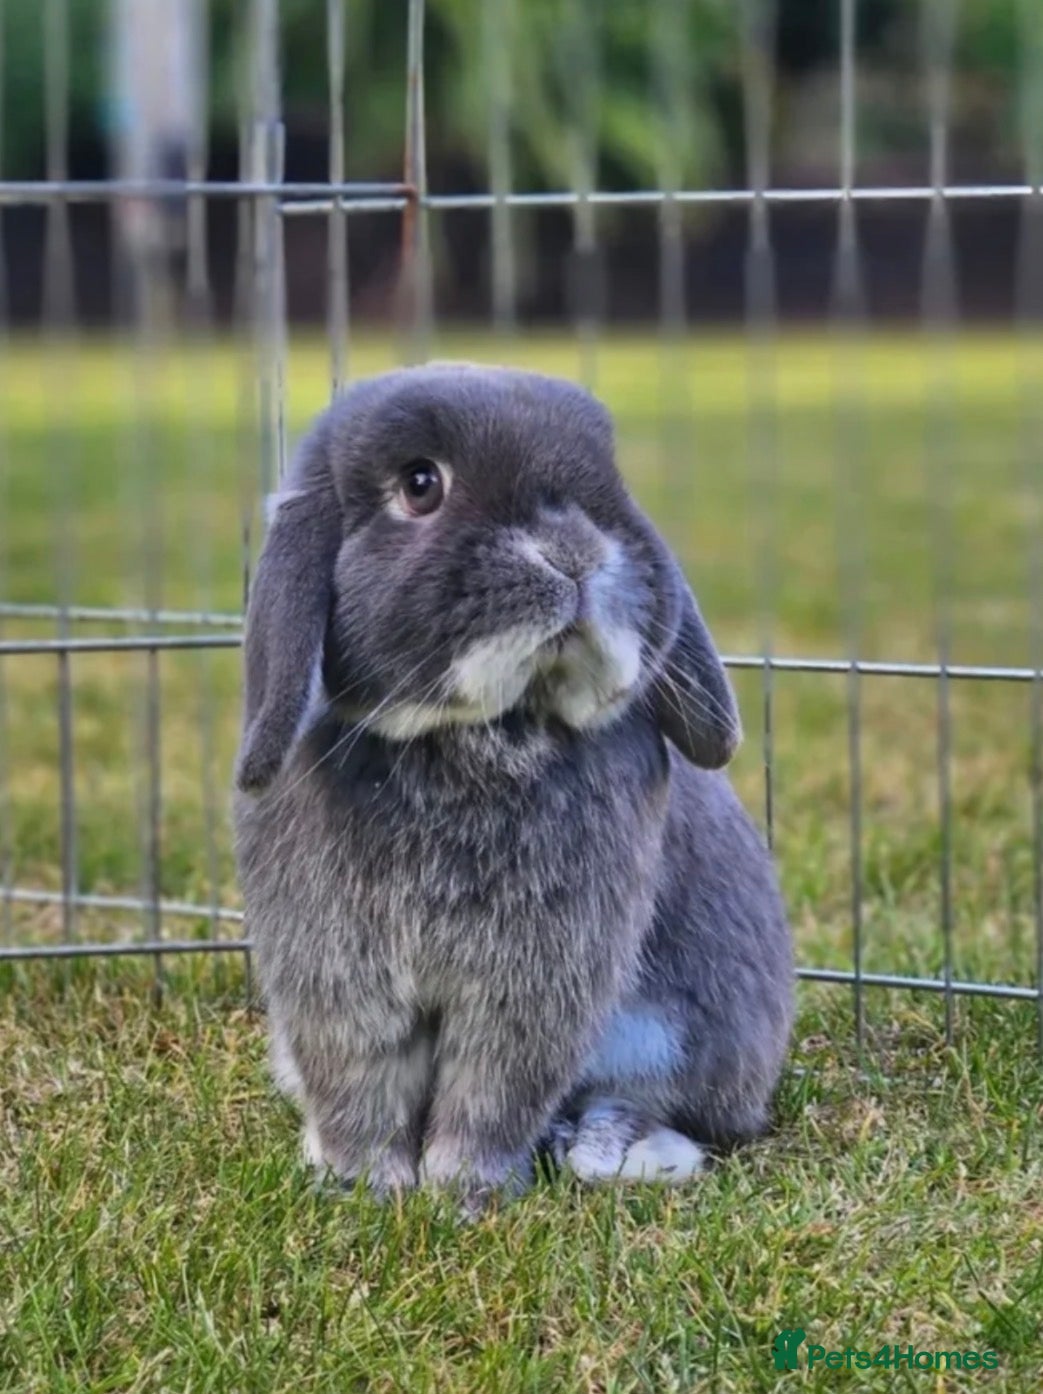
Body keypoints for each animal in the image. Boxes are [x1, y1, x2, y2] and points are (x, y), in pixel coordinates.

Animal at [232, 362, 794, 1207]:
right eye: (420, 484)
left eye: (608, 480)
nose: (572, 552)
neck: (474, 733)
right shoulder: (336, 971)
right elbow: (359, 1080)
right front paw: (365, 1183)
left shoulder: (536, 980)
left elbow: (495, 1085)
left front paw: (462, 1190)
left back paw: (606, 1151)